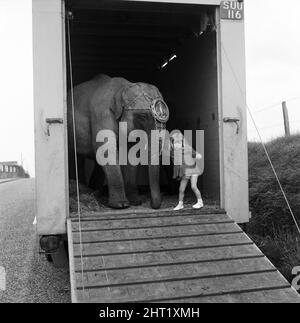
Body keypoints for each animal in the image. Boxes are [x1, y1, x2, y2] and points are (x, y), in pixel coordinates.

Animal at [67, 74, 169, 210]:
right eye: (142, 116)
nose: (152, 204)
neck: (122, 89)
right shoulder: (102, 114)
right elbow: (106, 150)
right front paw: (121, 205)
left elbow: (131, 154)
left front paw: (135, 202)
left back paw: (96, 192)